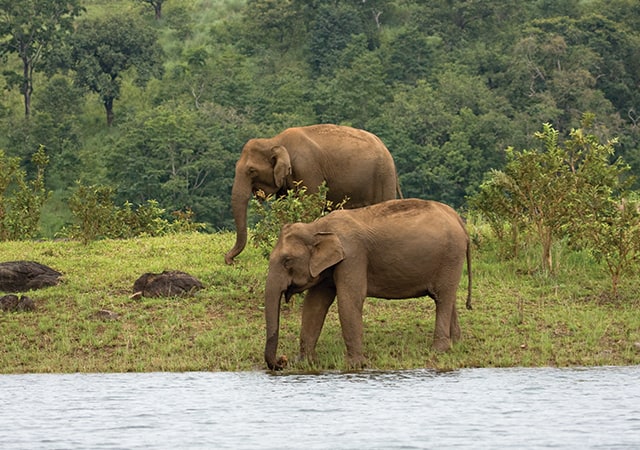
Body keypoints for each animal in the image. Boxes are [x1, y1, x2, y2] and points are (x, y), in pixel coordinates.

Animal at [225, 124, 401, 265]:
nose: (230, 260)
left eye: (251, 170)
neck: (276, 141)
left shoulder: (307, 168)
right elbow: (283, 207)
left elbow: (313, 205)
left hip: (383, 177)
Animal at [263, 198, 472, 370]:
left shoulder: (353, 256)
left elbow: (349, 300)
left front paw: (355, 365)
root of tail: (458, 219)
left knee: (443, 297)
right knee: (447, 298)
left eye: (287, 261)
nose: (282, 361)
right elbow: (314, 305)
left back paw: (439, 350)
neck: (316, 226)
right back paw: (456, 343)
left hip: (451, 256)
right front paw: (304, 363)